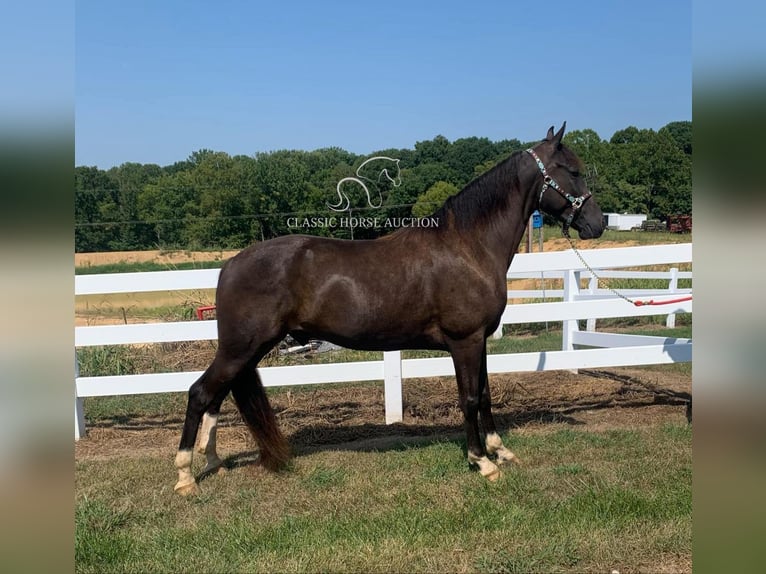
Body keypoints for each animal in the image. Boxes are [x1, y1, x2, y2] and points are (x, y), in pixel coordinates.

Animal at [174, 125, 608, 496]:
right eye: (572, 171)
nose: (597, 223)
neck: (467, 246)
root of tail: (230, 264)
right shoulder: (465, 341)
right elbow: (469, 398)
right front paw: (481, 462)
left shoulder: (479, 341)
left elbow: (485, 394)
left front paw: (499, 451)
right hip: (241, 349)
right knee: (200, 394)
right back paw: (185, 476)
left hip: (247, 351)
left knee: (216, 396)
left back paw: (212, 462)